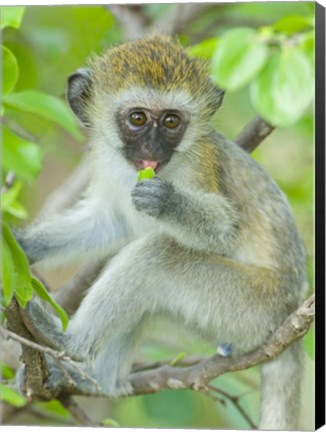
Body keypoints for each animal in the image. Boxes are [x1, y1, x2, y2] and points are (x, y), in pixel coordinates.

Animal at [15, 33, 306, 428]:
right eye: (137, 118)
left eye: (171, 121)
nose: (152, 147)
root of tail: (288, 311)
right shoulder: (105, 160)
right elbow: (109, 221)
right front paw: (22, 244)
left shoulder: (199, 164)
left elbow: (224, 230)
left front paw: (168, 202)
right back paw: (98, 378)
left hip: (250, 307)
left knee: (157, 256)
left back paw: (70, 343)